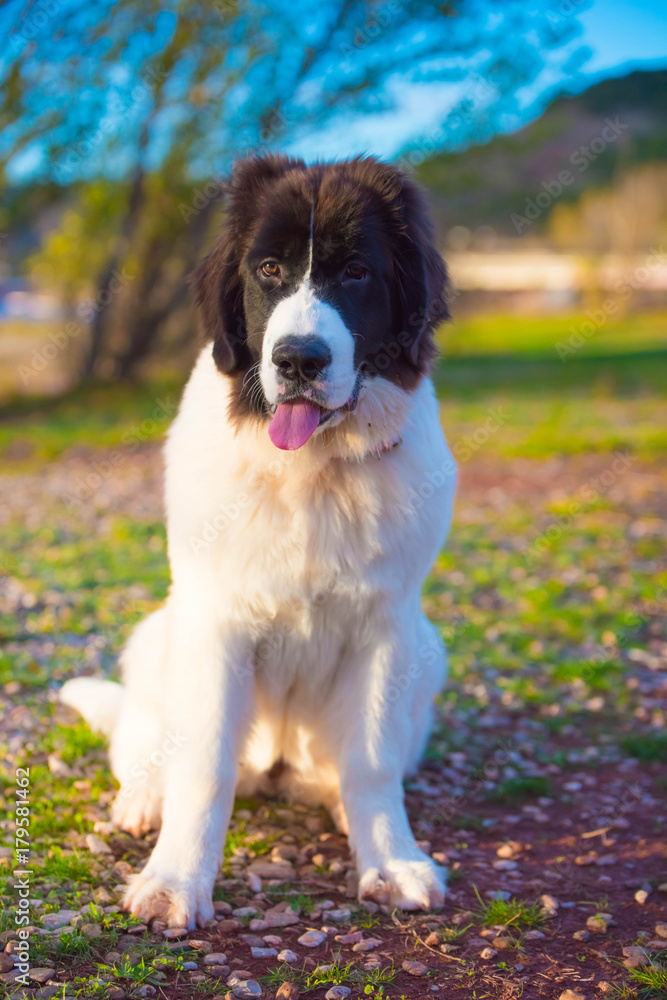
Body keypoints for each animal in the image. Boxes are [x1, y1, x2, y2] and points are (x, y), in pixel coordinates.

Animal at [61, 156, 460, 928]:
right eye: (269, 269)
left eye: (357, 273)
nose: (300, 359)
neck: (309, 472)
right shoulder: (214, 622)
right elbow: (203, 765)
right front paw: (176, 881)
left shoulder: (388, 628)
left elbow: (369, 759)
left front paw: (390, 861)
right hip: (158, 635)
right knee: (147, 744)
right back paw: (144, 799)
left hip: (427, 652)